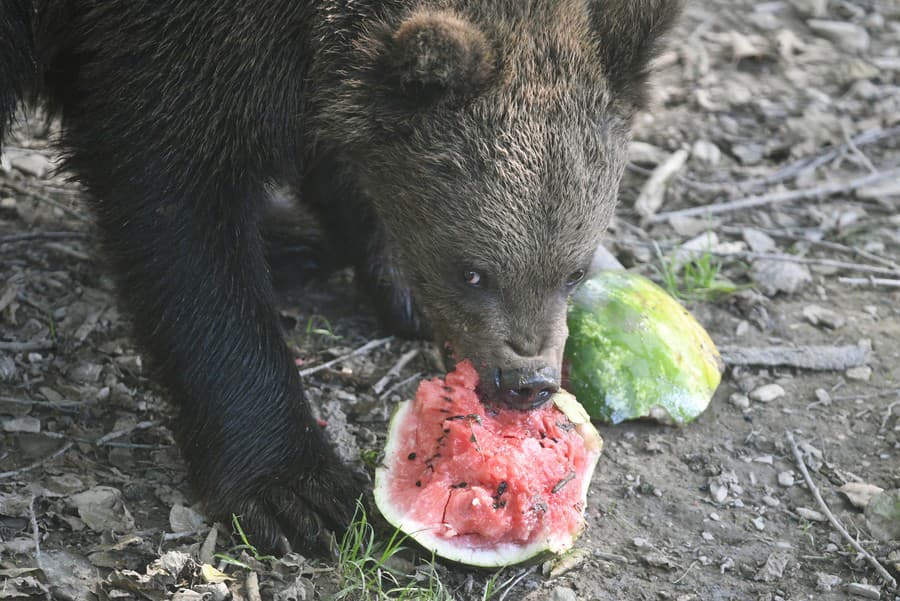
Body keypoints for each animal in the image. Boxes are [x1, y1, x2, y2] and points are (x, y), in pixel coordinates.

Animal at [0, 0, 676, 552]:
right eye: (474, 273)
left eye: (573, 272)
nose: (527, 383)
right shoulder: (169, 54)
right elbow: (179, 217)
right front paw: (300, 492)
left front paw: (395, 283)